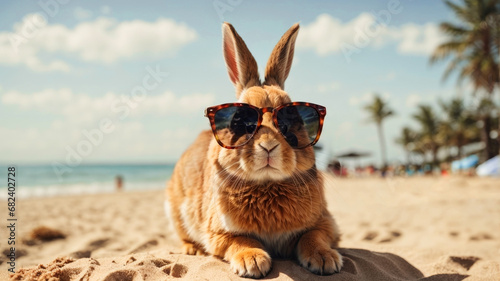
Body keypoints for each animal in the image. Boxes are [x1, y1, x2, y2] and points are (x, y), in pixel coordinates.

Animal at [165, 22, 344, 278]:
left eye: (292, 120)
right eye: (241, 122)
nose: (268, 146)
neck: (267, 184)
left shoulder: (325, 223)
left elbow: (312, 236)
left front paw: (325, 259)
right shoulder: (219, 234)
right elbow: (241, 240)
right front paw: (253, 261)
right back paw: (193, 249)